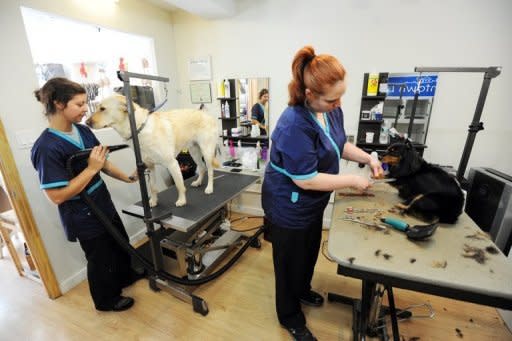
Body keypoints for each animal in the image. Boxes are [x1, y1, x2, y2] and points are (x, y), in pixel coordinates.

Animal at [86, 95, 218, 207]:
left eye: (102, 109)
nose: (87, 123)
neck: (139, 129)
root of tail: (205, 114)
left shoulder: (172, 164)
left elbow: (179, 185)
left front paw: (182, 200)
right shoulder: (150, 166)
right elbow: (152, 187)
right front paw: (153, 202)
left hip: (206, 152)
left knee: (210, 170)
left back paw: (210, 188)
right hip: (194, 152)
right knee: (202, 168)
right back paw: (198, 182)